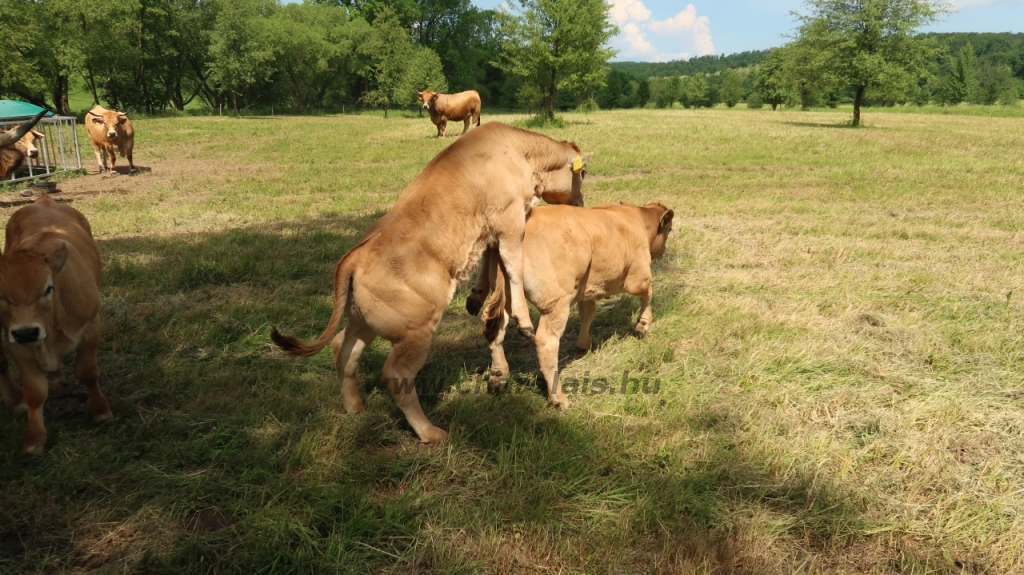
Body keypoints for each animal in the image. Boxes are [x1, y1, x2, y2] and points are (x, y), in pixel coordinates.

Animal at [0, 194, 111, 454]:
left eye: (48, 288)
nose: (27, 331)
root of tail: (45, 200)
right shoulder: (14, 343)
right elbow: (34, 391)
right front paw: (34, 439)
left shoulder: (91, 326)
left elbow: (88, 372)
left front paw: (100, 411)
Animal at [272, 121, 593, 444]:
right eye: (583, 173)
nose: (581, 204)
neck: (518, 150)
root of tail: (354, 257)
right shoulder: (510, 219)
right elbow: (512, 266)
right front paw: (523, 320)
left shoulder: (490, 231)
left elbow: (492, 263)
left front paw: (477, 296)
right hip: (417, 330)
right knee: (396, 374)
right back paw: (429, 432)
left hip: (364, 323)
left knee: (344, 350)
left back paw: (355, 408)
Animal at [479, 201, 671, 407]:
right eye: (669, 229)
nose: (663, 250)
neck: (637, 217)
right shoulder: (638, 277)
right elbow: (648, 294)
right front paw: (642, 325)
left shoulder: (587, 290)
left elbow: (587, 313)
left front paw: (583, 345)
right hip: (556, 304)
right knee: (546, 342)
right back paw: (559, 398)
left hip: (505, 298)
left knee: (495, 332)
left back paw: (497, 378)